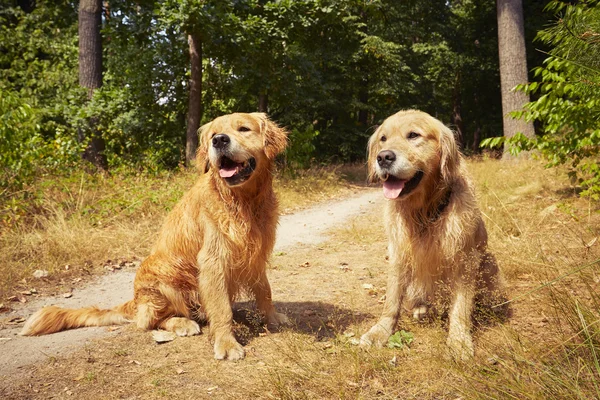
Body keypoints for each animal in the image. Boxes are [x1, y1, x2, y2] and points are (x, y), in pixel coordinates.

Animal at [21, 111, 288, 360]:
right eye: (213, 134)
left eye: (243, 129)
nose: (219, 140)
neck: (244, 202)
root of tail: (136, 299)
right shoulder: (213, 261)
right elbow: (222, 310)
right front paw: (226, 343)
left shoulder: (257, 253)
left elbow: (265, 290)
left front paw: (273, 317)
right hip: (163, 277)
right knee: (151, 321)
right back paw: (183, 323)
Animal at [358, 109, 500, 360]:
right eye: (383, 139)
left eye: (413, 135)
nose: (383, 157)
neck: (423, 212)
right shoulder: (398, 254)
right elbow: (392, 300)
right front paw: (380, 332)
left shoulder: (465, 259)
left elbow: (460, 307)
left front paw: (459, 340)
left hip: (489, 261)